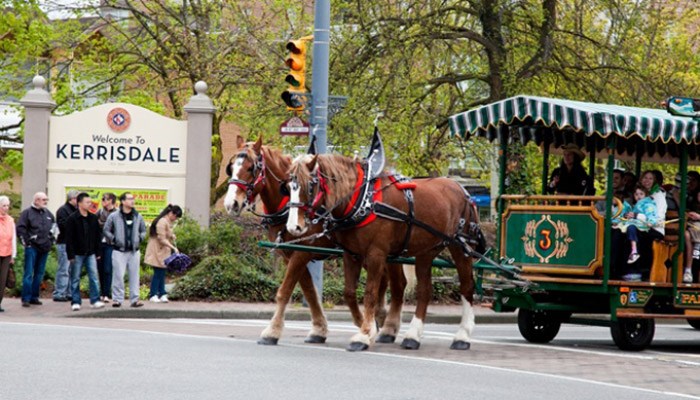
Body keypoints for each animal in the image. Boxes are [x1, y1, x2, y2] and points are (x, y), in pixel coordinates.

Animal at [224, 138, 400, 344]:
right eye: (231, 168)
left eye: (251, 168)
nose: (231, 204)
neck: (287, 205)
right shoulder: (291, 254)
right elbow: (309, 292)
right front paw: (319, 329)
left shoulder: (303, 252)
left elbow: (285, 291)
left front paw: (272, 331)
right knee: (384, 281)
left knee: (396, 283)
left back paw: (386, 324)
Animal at [286, 153, 476, 350]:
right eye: (288, 186)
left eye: (310, 185)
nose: (294, 227)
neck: (364, 200)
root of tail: (461, 189)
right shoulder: (351, 254)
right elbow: (349, 293)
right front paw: (368, 327)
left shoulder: (376, 255)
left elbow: (370, 293)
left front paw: (364, 335)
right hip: (426, 251)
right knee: (424, 291)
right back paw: (412, 336)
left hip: (460, 247)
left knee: (466, 286)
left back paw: (462, 336)